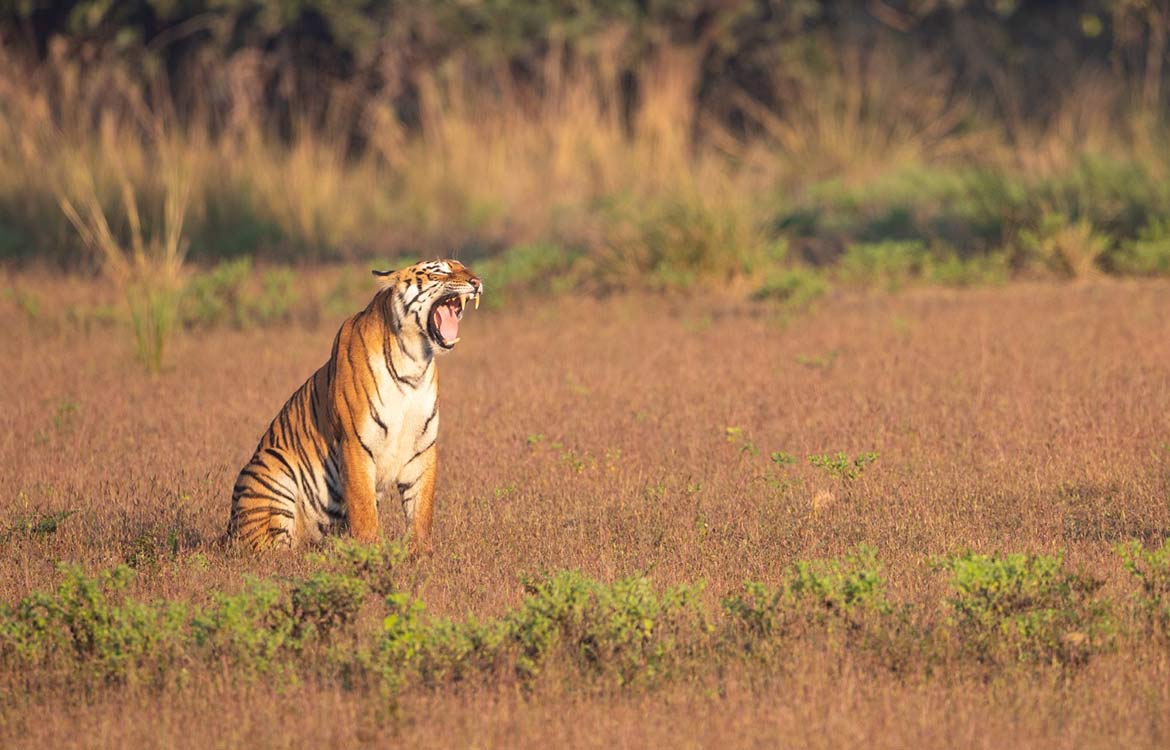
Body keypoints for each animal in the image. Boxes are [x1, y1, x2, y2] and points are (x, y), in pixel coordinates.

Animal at [225, 257, 482, 549]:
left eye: (464, 267)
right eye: (439, 272)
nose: (476, 282)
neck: (414, 361)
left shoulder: (422, 446)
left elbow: (421, 511)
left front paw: (421, 553)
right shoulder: (355, 443)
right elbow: (364, 512)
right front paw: (372, 553)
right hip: (272, 466)